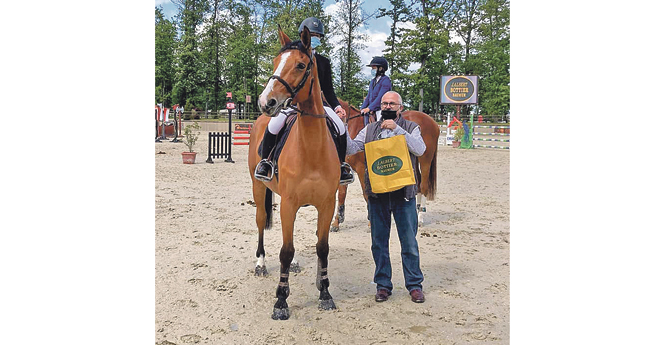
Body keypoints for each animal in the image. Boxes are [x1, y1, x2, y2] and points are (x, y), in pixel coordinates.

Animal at [249, 25, 340, 318]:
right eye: (276, 62)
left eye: (301, 65)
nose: (265, 101)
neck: (311, 148)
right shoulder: (289, 202)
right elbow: (285, 251)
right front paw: (281, 300)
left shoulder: (326, 204)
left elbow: (322, 247)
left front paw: (324, 292)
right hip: (259, 187)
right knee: (261, 221)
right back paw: (260, 263)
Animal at [330, 99, 438, 231]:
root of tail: (432, 121)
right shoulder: (345, 168)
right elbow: (341, 195)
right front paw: (336, 222)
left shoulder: (361, 168)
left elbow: (366, 194)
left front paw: (371, 222)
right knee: (416, 184)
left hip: (425, 159)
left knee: (424, 186)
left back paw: (421, 217)